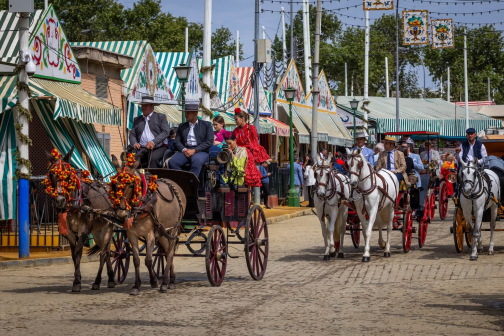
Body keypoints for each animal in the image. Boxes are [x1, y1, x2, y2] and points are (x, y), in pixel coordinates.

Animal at [44, 148, 115, 292]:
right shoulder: (69, 233)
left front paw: (77, 282)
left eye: (68, 175)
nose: (60, 200)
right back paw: (110, 278)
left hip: (108, 227)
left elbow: (78, 253)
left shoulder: (83, 230)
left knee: (103, 253)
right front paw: (78, 278)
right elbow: (73, 254)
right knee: (106, 251)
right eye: (51, 174)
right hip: (98, 232)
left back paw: (97, 281)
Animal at [109, 154, 186, 294]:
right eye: (114, 184)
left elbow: (148, 260)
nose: (122, 213)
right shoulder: (132, 235)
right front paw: (136, 285)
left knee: (170, 252)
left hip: (174, 228)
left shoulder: (150, 234)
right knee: (166, 250)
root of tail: (174, 184)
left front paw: (154, 281)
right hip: (162, 232)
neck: (140, 206)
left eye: (130, 185)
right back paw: (171, 280)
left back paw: (165, 283)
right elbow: (136, 260)